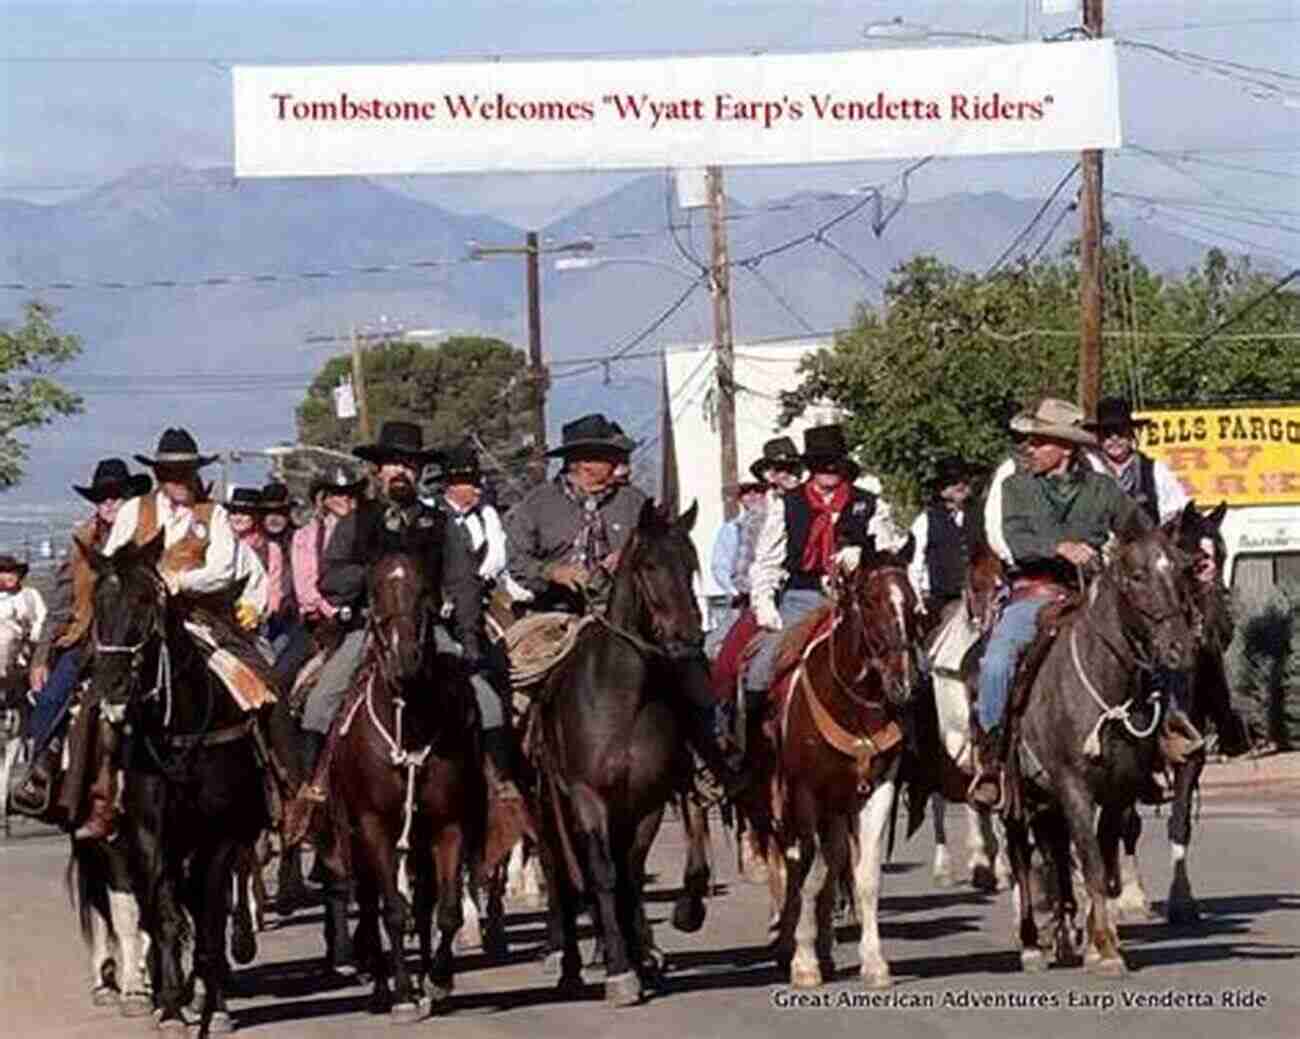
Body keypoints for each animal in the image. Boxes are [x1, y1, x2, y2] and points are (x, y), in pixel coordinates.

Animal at [85, 533, 269, 1035]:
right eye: (98, 602)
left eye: (146, 601)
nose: (111, 684)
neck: (181, 734)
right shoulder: (152, 837)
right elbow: (166, 917)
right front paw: (168, 1009)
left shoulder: (219, 838)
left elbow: (209, 918)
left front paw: (216, 1008)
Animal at [327, 551, 486, 1024]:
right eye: (376, 592)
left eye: (423, 592)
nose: (405, 659)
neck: (411, 726)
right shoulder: (373, 826)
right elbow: (392, 911)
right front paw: (400, 995)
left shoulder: (449, 824)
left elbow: (446, 910)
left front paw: (437, 980)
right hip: (352, 835)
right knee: (369, 900)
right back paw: (381, 989)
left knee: (424, 899)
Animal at [533, 504, 707, 1009]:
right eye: (649, 566)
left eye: (691, 563)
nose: (688, 639)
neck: (622, 698)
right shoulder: (588, 798)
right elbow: (604, 876)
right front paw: (619, 971)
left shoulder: (647, 801)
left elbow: (630, 874)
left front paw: (641, 960)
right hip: (546, 813)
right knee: (561, 877)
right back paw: (569, 966)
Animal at [754, 543, 925, 993]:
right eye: (870, 601)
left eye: (914, 604)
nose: (904, 684)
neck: (852, 706)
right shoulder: (804, 794)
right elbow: (808, 874)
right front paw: (803, 961)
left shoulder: (877, 790)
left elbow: (865, 879)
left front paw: (875, 963)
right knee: (793, 863)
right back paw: (789, 941)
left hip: (837, 806)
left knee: (833, 866)